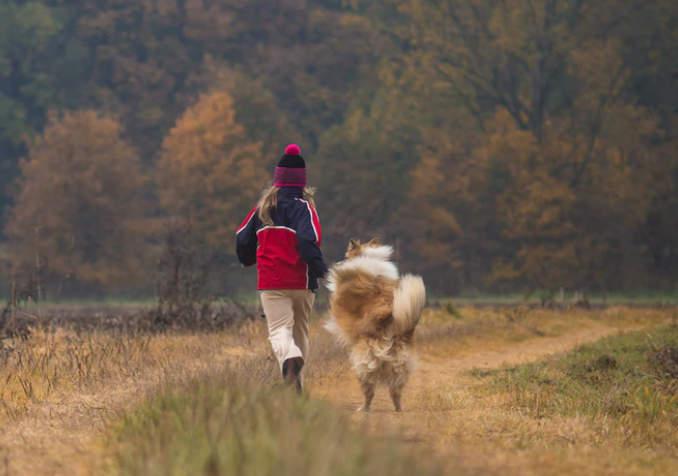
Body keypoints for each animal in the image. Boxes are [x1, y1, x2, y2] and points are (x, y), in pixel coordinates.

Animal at [324, 238, 424, 412]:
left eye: (346, 255)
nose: (339, 262)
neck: (367, 255)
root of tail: (391, 321)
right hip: (399, 365)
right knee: (395, 392)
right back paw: (398, 409)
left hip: (363, 363)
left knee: (369, 391)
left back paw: (363, 409)